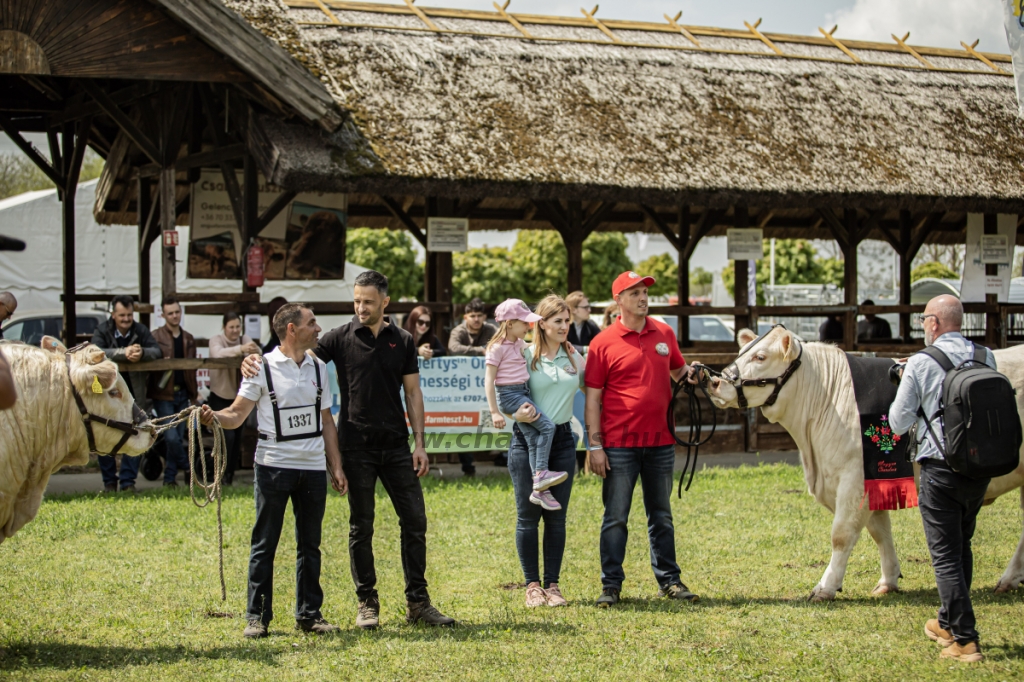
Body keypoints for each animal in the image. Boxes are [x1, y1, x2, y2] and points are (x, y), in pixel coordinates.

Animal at [704, 327, 1024, 598]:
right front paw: (888, 580)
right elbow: (880, 532)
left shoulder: (855, 479)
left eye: (760, 357)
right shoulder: (873, 480)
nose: (715, 381)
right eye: (741, 353)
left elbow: (842, 534)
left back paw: (1008, 578)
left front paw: (826, 586)